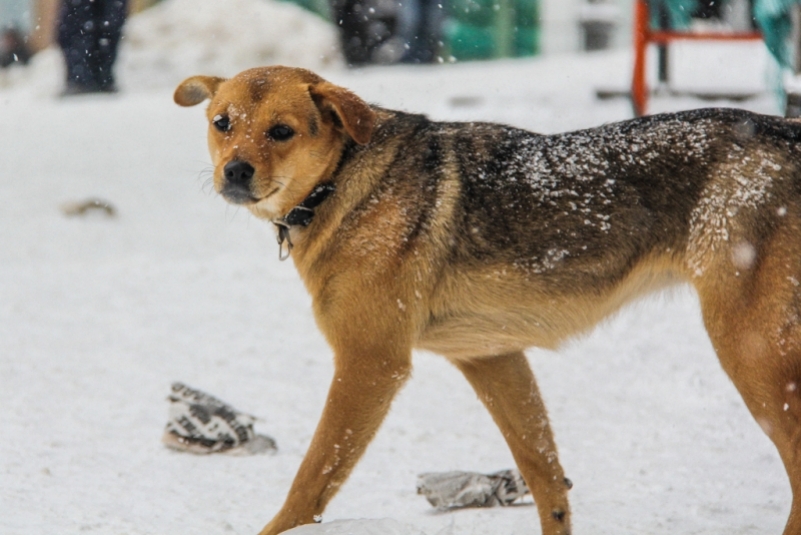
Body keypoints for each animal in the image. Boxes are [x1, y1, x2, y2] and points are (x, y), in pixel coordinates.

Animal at [173, 67, 800, 535]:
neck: (343, 180)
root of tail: (785, 130)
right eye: (222, 124)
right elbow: (546, 476)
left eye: (281, 131)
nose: (234, 171)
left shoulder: (369, 364)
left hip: (751, 349)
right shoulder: (492, 357)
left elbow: (308, 483)